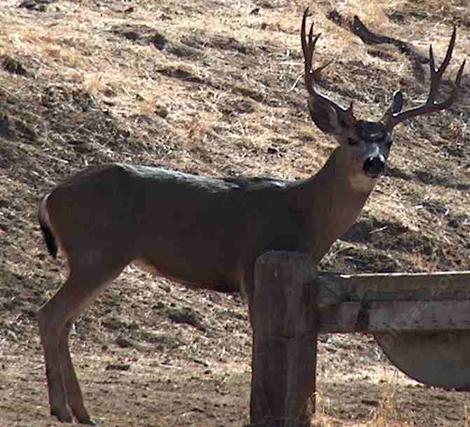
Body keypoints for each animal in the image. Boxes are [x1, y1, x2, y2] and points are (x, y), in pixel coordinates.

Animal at [35, 9, 462, 424]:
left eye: (388, 141)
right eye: (352, 139)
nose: (374, 162)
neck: (305, 214)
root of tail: (50, 196)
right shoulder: (255, 267)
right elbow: (263, 335)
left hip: (92, 257)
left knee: (65, 320)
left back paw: (81, 412)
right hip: (98, 252)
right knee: (50, 314)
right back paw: (61, 409)